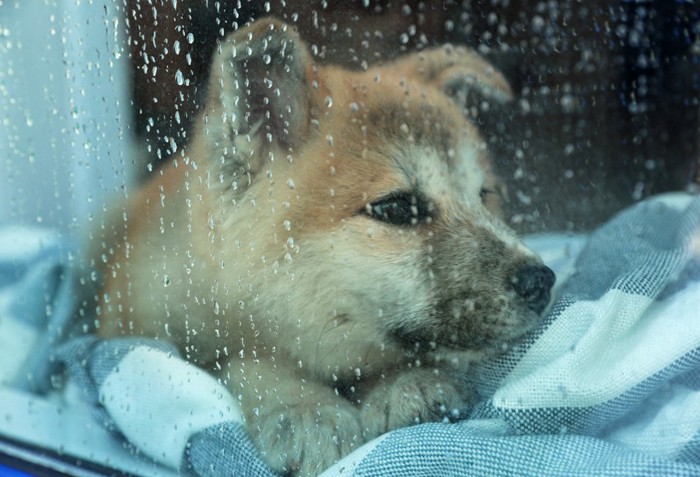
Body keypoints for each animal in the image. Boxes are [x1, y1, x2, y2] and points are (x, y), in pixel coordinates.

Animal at [91, 16, 552, 474]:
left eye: (485, 195)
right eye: (398, 208)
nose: (541, 281)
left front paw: (406, 382)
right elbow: (246, 364)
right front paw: (306, 410)